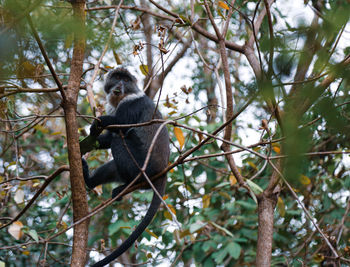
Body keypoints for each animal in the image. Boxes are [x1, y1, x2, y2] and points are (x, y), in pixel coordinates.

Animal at [81, 67, 170, 267]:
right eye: (116, 77)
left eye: (126, 80)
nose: (119, 86)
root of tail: (162, 172)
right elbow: (107, 138)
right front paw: (88, 141)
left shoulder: (131, 105)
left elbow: (121, 124)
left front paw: (99, 121)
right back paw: (90, 181)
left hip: (140, 165)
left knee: (119, 140)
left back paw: (131, 185)